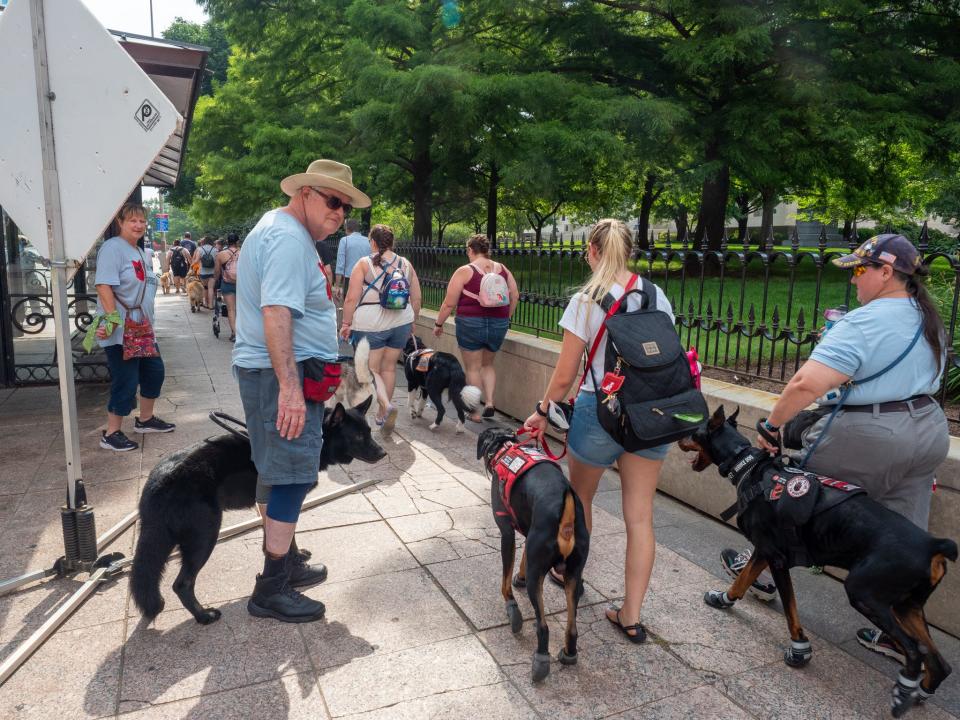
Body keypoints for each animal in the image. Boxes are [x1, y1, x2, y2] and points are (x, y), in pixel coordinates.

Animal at [132, 400, 386, 624]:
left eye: (370, 432)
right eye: (358, 437)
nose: (383, 453)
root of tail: (159, 481)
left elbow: (278, 541)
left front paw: (293, 564)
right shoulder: (288, 501)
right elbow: (288, 536)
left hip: (166, 538)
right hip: (204, 536)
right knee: (182, 584)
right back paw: (203, 616)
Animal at [476, 428, 588, 680]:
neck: (505, 448)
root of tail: (567, 518)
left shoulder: (506, 533)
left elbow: (504, 583)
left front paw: (512, 609)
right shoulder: (529, 532)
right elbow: (523, 559)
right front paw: (519, 577)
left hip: (539, 575)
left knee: (544, 626)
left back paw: (541, 660)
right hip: (573, 575)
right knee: (572, 626)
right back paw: (568, 653)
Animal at [680, 404, 956, 716]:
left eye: (694, 432)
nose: (678, 440)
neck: (748, 466)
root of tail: (933, 544)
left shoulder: (776, 558)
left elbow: (790, 611)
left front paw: (800, 649)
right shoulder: (764, 551)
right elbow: (742, 580)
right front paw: (723, 599)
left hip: (864, 593)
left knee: (913, 651)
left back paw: (902, 694)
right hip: (906, 605)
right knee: (937, 661)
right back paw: (920, 691)